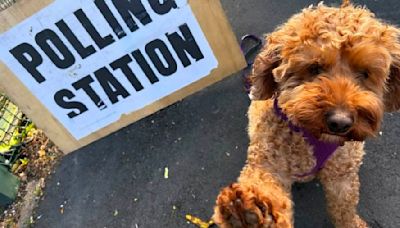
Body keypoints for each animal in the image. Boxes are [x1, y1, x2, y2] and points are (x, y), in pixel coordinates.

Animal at [212, 0, 400, 227]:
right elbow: (265, 186)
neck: (312, 136)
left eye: (364, 73)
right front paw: (247, 212)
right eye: (314, 68)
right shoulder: (269, 164)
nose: (340, 122)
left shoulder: (342, 176)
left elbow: (344, 209)